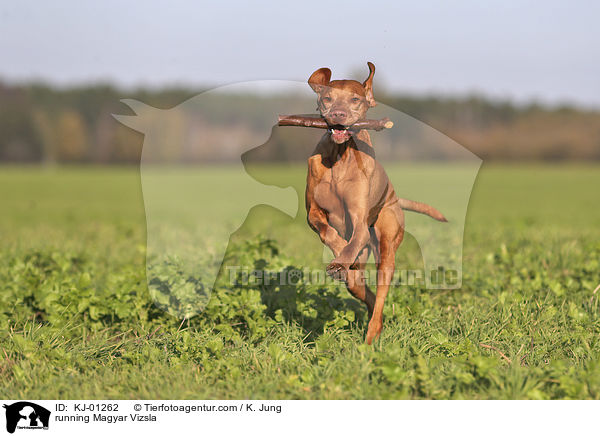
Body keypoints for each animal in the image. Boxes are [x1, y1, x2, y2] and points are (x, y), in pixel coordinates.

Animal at [304, 61, 446, 344]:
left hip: (387, 249)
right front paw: (339, 254)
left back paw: (372, 334)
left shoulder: (359, 220)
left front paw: (341, 259)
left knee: (380, 296)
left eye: (355, 99)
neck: (340, 156)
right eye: (327, 98)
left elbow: (353, 238)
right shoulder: (313, 211)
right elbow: (326, 230)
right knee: (361, 289)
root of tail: (395, 198)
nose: (338, 113)